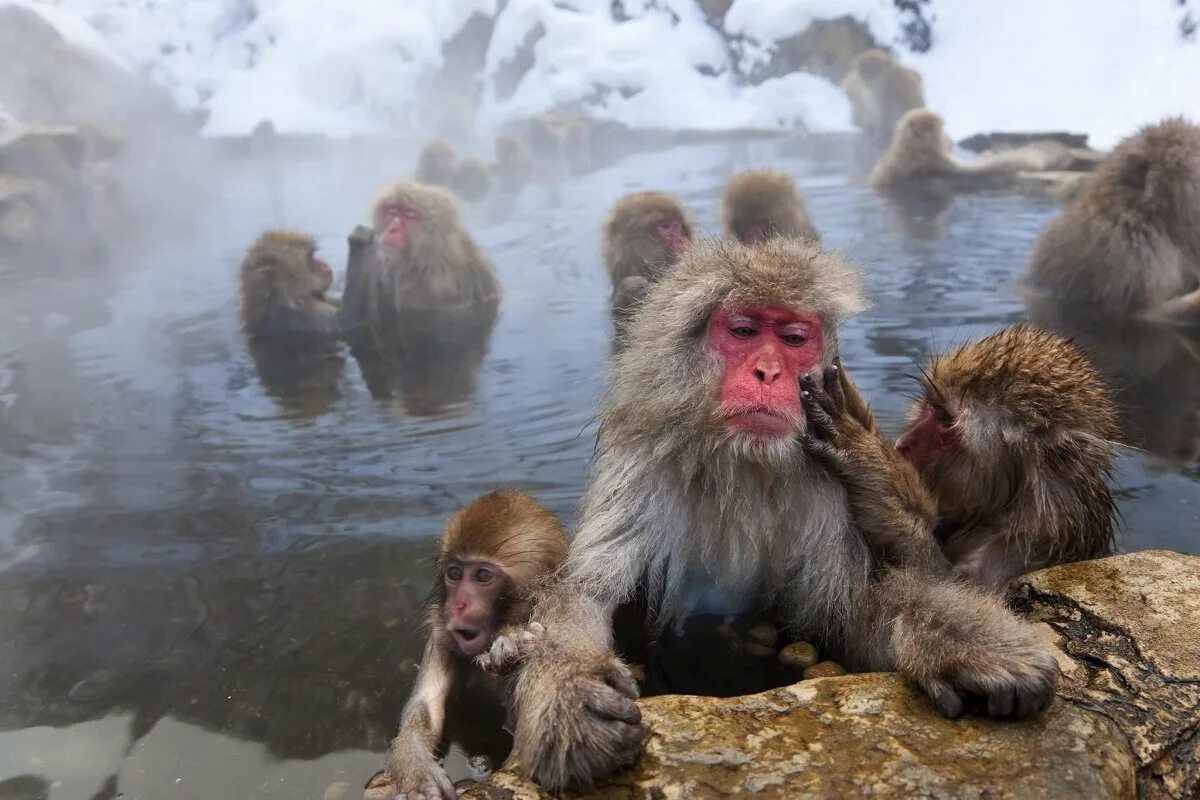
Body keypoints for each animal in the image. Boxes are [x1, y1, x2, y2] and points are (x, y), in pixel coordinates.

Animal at [376, 489, 568, 800]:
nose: (457, 605)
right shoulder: (441, 635)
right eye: (454, 573)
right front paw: (419, 776)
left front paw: (512, 645)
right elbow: (424, 707)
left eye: (483, 576)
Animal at [501, 236, 1056, 786]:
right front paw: (570, 695)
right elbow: (586, 594)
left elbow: (844, 617)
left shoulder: (826, 486)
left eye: (792, 339)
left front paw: (965, 648)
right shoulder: (639, 471)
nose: (767, 371)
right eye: (744, 331)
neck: (746, 463)